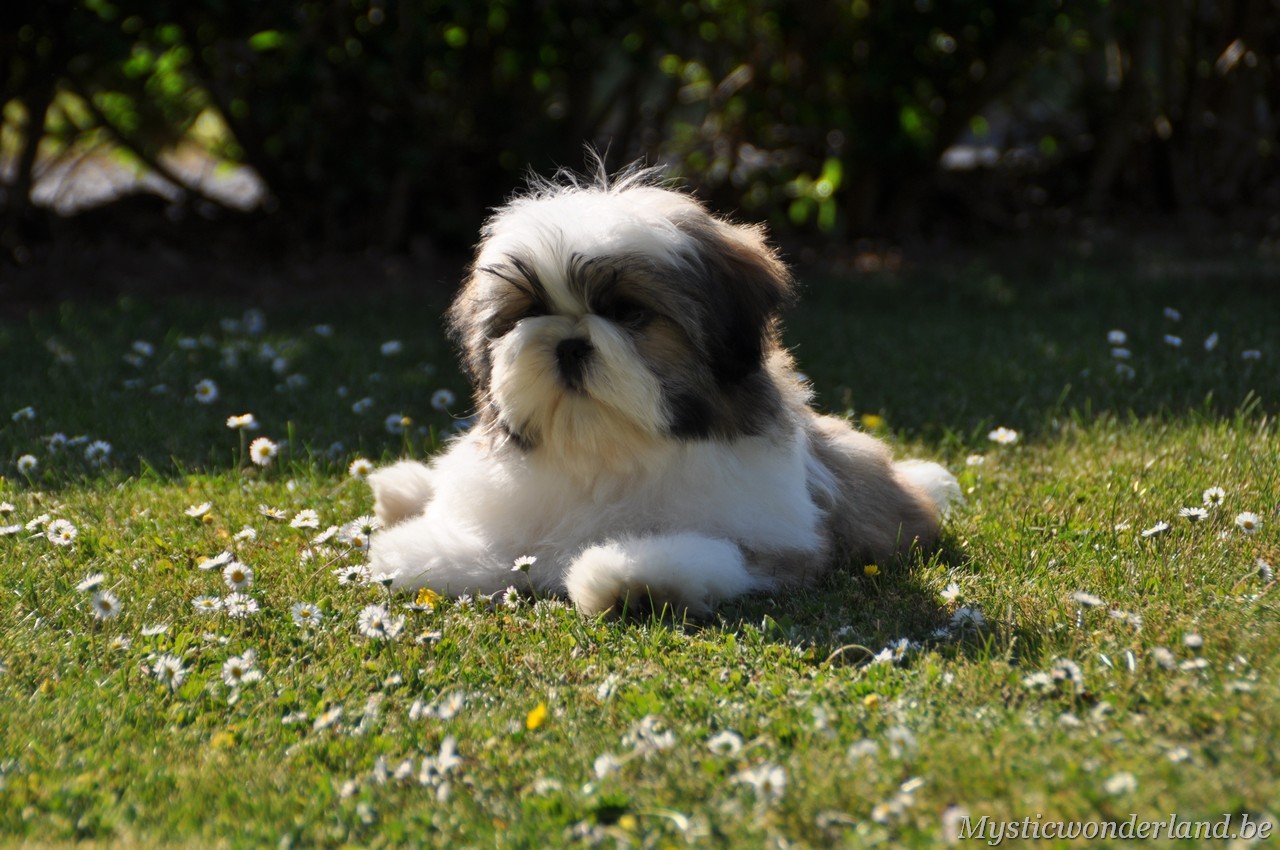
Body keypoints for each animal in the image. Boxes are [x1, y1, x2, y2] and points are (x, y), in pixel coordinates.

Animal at [367, 164, 960, 615]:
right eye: (530, 311)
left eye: (629, 312)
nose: (569, 344)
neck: (607, 449)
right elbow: (477, 548)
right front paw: (421, 546)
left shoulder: (772, 545)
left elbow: (692, 553)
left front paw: (617, 574)